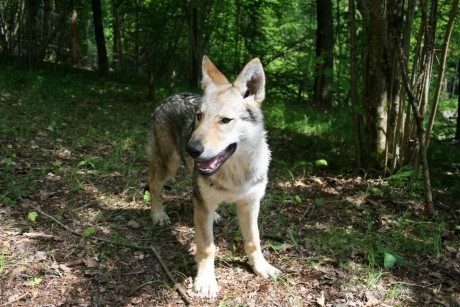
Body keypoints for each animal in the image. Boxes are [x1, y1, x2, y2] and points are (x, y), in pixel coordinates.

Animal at [147, 55, 280, 298]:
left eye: (225, 120)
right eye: (199, 116)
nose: (191, 149)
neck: (235, 175)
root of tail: (171, 96)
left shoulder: (250, 204)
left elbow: (253, 241)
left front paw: (262, 268)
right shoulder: (204, 207)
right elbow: (207, 247)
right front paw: (206, 281)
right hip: (167, 167)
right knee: (153, 186)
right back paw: (158, 215)